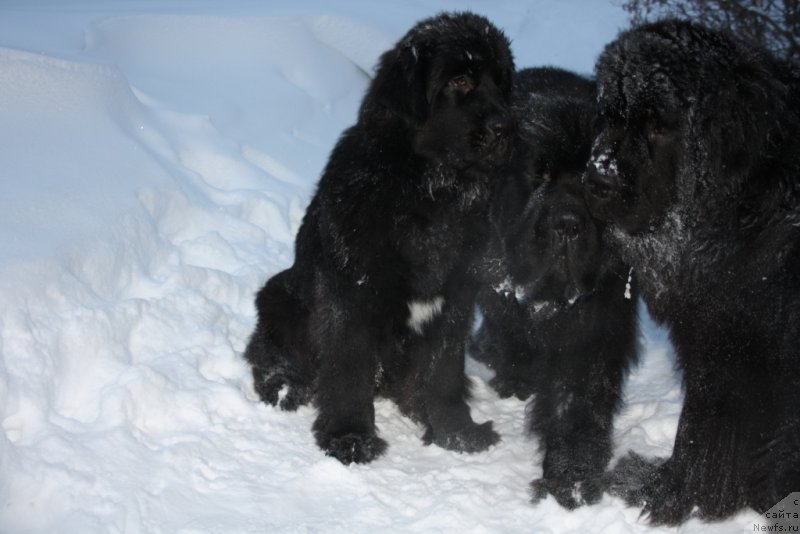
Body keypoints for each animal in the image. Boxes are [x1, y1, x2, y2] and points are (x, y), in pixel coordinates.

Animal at [245, 11, 520, 464]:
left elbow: (443, 371)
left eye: (501, 83)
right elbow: (350, 372)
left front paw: (456, 433)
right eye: (461, 80)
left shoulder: (455, 301)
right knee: (268, 355)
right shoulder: (353, 296)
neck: (430, 194)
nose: (507, 128)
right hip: (278, 293)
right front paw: (349, 438)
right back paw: (285, 387)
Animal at [472, 67, 640, 510]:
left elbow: (576, 401)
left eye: (593, 181)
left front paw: (572, 477)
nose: (567, 224)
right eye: (539, 173)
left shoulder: (595, 323)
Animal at [580, 18, 800, 524]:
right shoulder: (720, 341)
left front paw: (669, 496)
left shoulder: (740, 343)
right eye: (609, 116)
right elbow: (706, 429)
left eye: (658, 124)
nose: (597, 177)